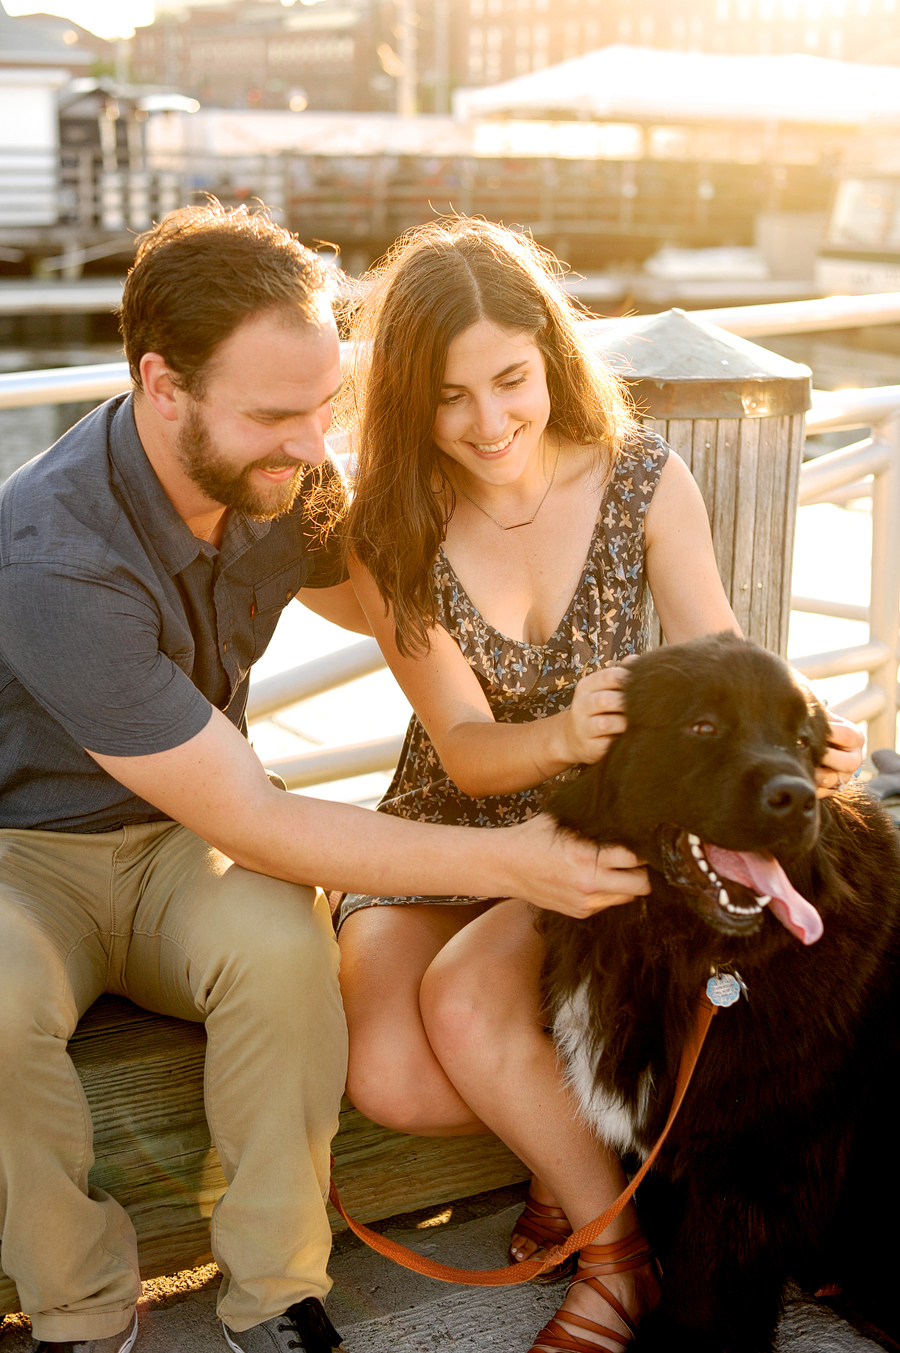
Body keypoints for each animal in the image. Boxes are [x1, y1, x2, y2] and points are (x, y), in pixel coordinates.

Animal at [541, 633, 898, 1353]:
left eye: (803, 741)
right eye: (702, 726)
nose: (797, 797)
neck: (692, 959)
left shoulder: (757, 1153)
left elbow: (708, 1281)